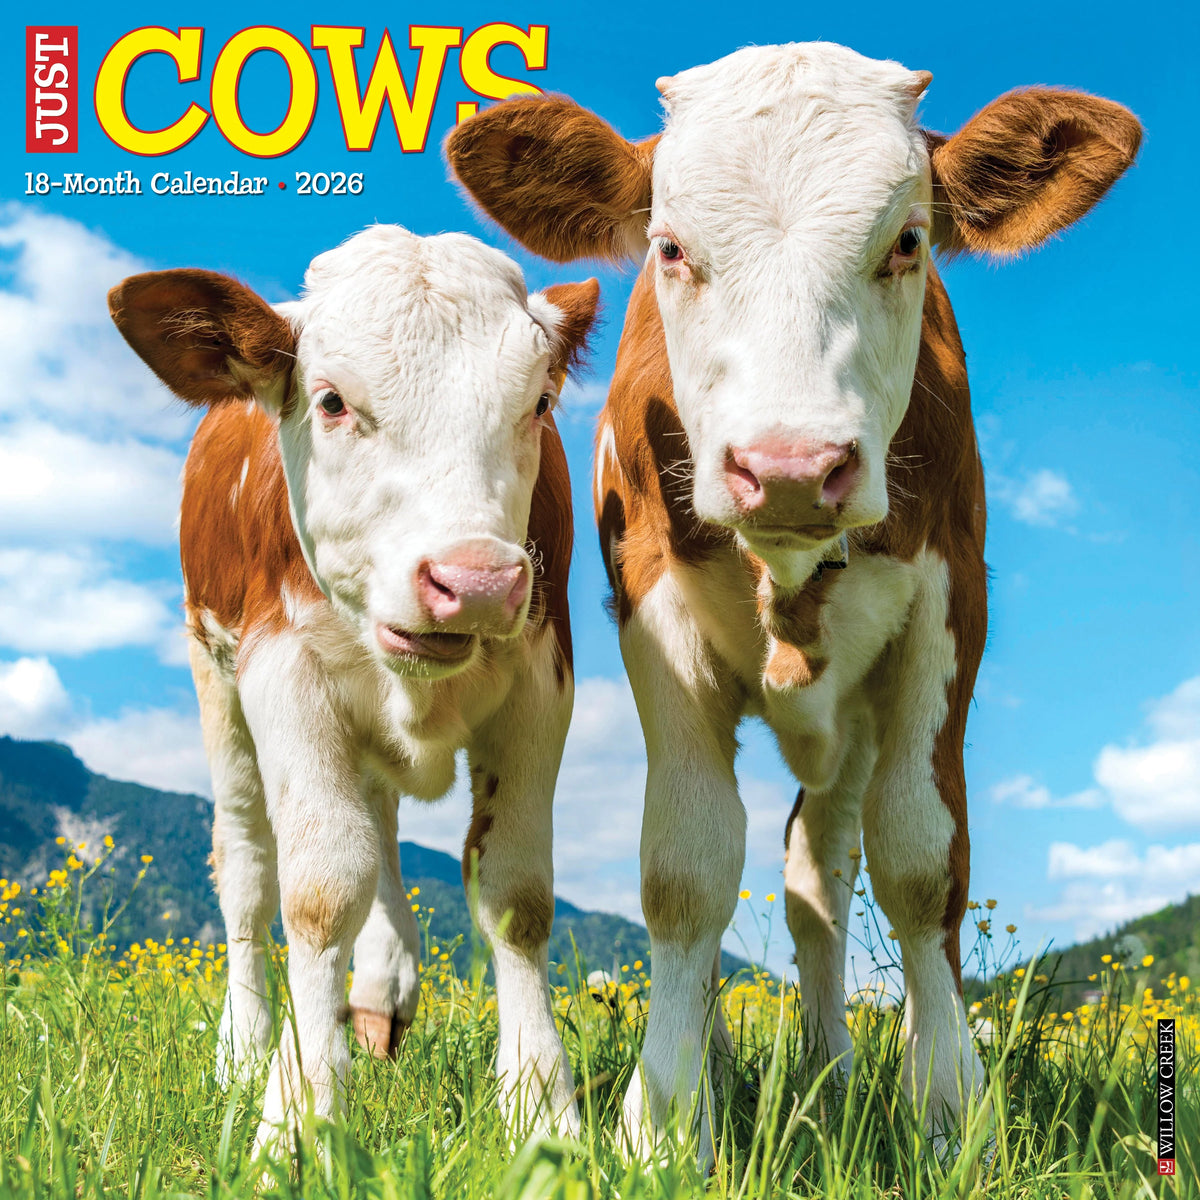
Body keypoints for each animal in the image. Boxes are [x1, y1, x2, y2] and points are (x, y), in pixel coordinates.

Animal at [108, 225, 599, 1151]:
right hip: (214, 680)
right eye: (332, 401)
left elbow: (516, 893)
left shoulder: (541, 677)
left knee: (379, 821)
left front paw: (540, 1106)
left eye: (540, 403)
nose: (476, 582)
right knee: (249, 865)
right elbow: (320, 889)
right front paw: (297, 1113)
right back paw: (247, 1048)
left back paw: (377, 988)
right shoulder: (282, 672)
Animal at [446, 42, 1141, 1154]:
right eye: (671, 247)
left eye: (908, 241)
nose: (787, 468)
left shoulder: (950, 609)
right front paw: (668, 1115)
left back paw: (829, 1067)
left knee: (821, 872)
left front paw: (949, 1110)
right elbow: (686, 868)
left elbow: (919, 861)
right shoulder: (653, 609)